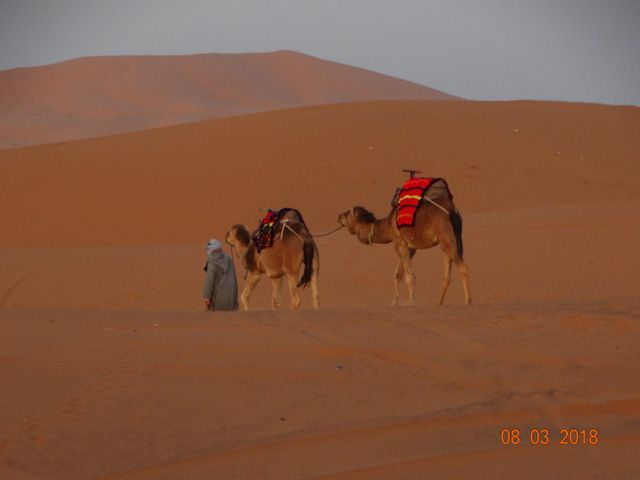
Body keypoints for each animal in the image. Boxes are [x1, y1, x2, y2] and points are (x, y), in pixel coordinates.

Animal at [340, 178, 470, 306]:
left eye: (347, 215)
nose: (338, 216)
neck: (388, 225)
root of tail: (452, 211)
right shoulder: (410, 248)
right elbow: (398, 274)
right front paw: (395, 302)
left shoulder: (399, 243)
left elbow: (409, 276)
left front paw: (412, 302)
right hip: (455, 236)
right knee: (447, 273)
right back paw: (439, 303)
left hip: (445, 234)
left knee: (462, 267)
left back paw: (468, 301)